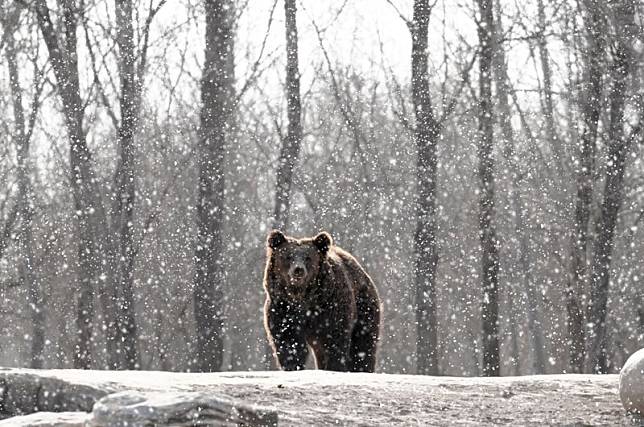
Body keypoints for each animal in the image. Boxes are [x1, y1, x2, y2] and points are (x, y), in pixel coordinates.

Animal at [262, 229, 382, 372]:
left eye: (308, 258)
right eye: (288, 256)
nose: (298, 270)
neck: (304, 299)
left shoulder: (332, 307)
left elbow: (335, 340)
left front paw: (334, 367)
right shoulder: (283, 309)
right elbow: (289, 341)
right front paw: (293, 366)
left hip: (364, 307)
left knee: (363, 344)